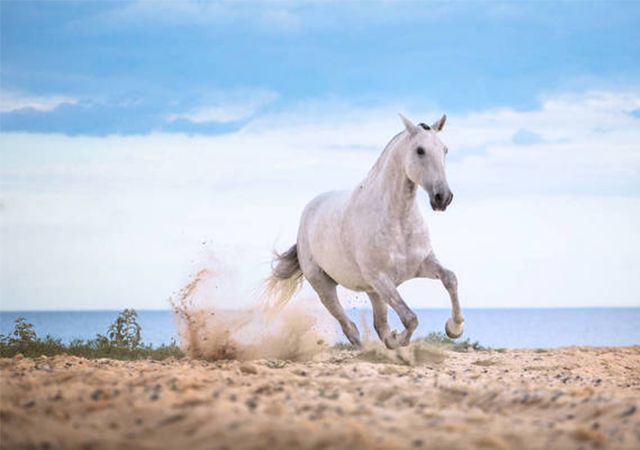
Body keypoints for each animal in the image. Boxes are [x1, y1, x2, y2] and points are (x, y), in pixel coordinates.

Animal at [264, 114, 464, 350]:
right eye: (420, 150)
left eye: (445, 150)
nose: (443, 197)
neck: (399, 222)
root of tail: (308, 213)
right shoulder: (380, 278)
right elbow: (410, 318)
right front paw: (400, 340)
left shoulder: (422, 264)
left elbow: (450, 279)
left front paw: (454, 328)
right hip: (324, 285)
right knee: (350, 327)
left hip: (373, 292)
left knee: (379, 325)